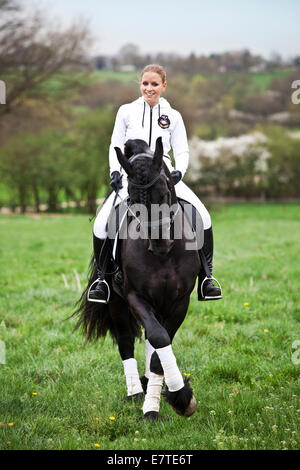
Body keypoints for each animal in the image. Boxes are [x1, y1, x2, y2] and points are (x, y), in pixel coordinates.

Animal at [73, 138, 200, 420]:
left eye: (164, 192)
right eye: (131, 198)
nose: (159, 245)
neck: (165, 257)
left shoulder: (179, 301)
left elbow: (159, 350)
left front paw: (169, 399)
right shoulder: (135, 297)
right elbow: (159, 337)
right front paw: (177, 397)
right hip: (117, 303)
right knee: (125, 341)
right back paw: (135, 392)